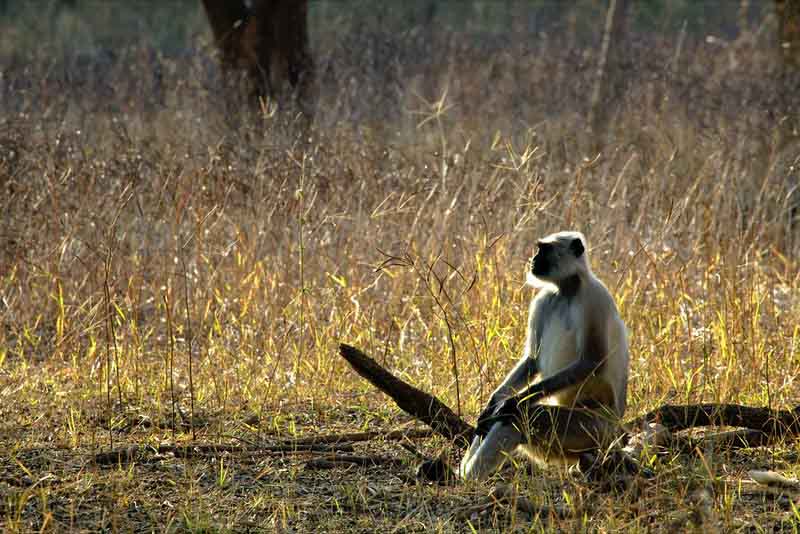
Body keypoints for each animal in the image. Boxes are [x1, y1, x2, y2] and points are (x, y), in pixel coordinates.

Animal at [460, 232, 628, 484]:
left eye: (544, 250)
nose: (533, 259)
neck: (567, 290)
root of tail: (615, 427)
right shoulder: (544, 300)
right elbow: (532, 360)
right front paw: (493, 402)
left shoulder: (594, 298)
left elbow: (590, 361)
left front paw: (512, 403)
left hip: (592, 427)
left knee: (518, 420)